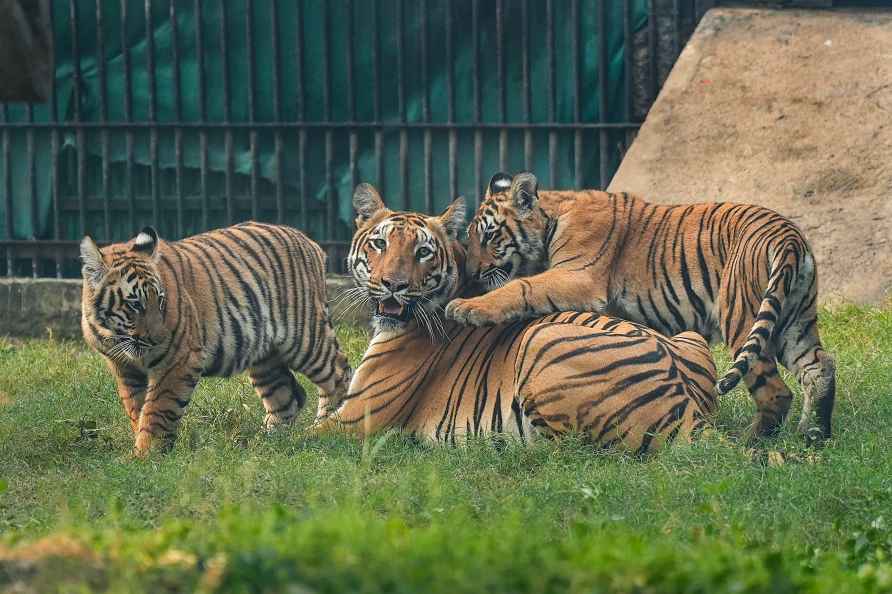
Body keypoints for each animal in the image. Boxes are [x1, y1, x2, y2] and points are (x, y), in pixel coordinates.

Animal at [81, 222, 352, 454]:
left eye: (159, 300)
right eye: (135, 304)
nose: (159, 338)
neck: (114, 335)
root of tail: (307, 240)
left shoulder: (178, 360)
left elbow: (157, 409)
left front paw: (146, 454)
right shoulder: (124, 368)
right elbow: (136, 407)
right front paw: (141, 441)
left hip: (304, 338)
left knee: (339, 373)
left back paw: (327, 427)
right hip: (264, 356)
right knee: (287, 395)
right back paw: (265, 442)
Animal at [310, 182, 720, 454]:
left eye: (423, 252)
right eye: (379, 243)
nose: (393, 285)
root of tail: (690, 411)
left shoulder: (358, 417)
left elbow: (296, 440)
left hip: (542, 340)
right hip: (690, 337)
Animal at [446, 170, 836, 440]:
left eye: (490, 236)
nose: (472, 272)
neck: (553, 217)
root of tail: (787, 234)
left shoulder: (577, 276)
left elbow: (520, 287)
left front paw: (466, 307)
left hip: (741, 316)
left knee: (776, 392)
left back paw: (752, 440)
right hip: (794, 320)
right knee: (820, 368)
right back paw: (813, 434)